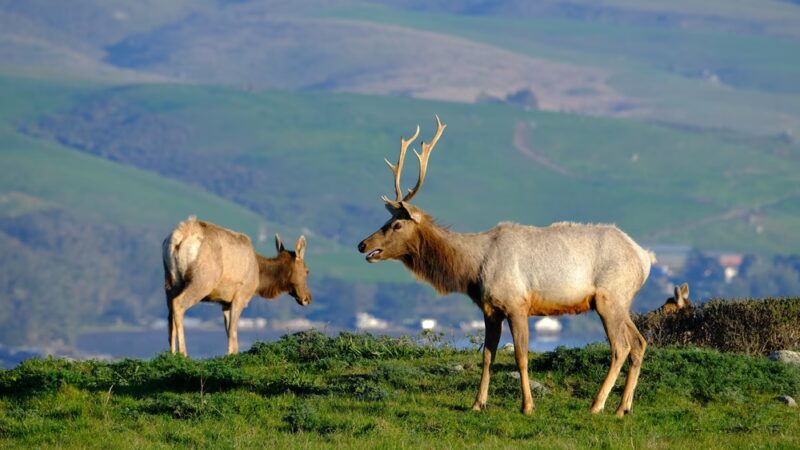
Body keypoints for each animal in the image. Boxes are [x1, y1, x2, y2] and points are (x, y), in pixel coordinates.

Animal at [162, 217, 311, 356]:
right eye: (307, 271)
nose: (307, 298)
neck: (259, 279)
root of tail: (178, 239)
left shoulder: (225, 302)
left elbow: (228, 330)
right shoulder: (241, 295)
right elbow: (233, 330)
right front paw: (231, 354)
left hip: (170, 281)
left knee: (170, 313)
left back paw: (172, 354)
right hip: (203, 280)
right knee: (178, 304)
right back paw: (183, 353)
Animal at [358, 116, 655, 417]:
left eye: (397, 224)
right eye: (387, 221)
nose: (362, 244)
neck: (472, 269)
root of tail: (645, 257)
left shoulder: (517, 303)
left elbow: (521, 356)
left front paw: (527, 405)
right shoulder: (491, 310)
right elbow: (487, 355)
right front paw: (478, 403)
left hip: (609, 297)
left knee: (621, 347)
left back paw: (598, 405)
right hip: (621, 301)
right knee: (639, 342)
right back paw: (623, 407)